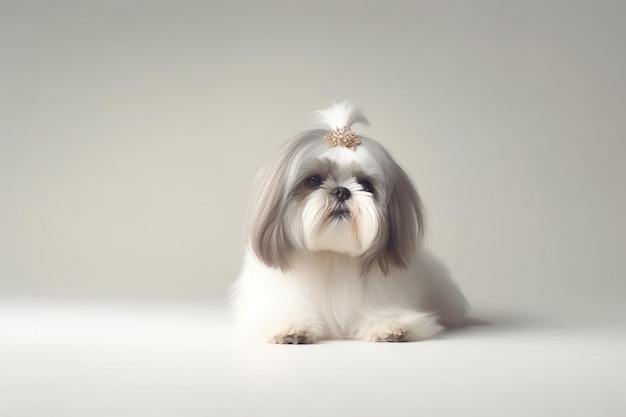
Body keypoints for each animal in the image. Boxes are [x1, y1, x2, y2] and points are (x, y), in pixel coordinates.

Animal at [230, 102, 468, 342]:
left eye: (366, 184)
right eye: (313, 180)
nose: (342, 191)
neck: (332, 255)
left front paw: (388, 325)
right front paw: (290, 327)